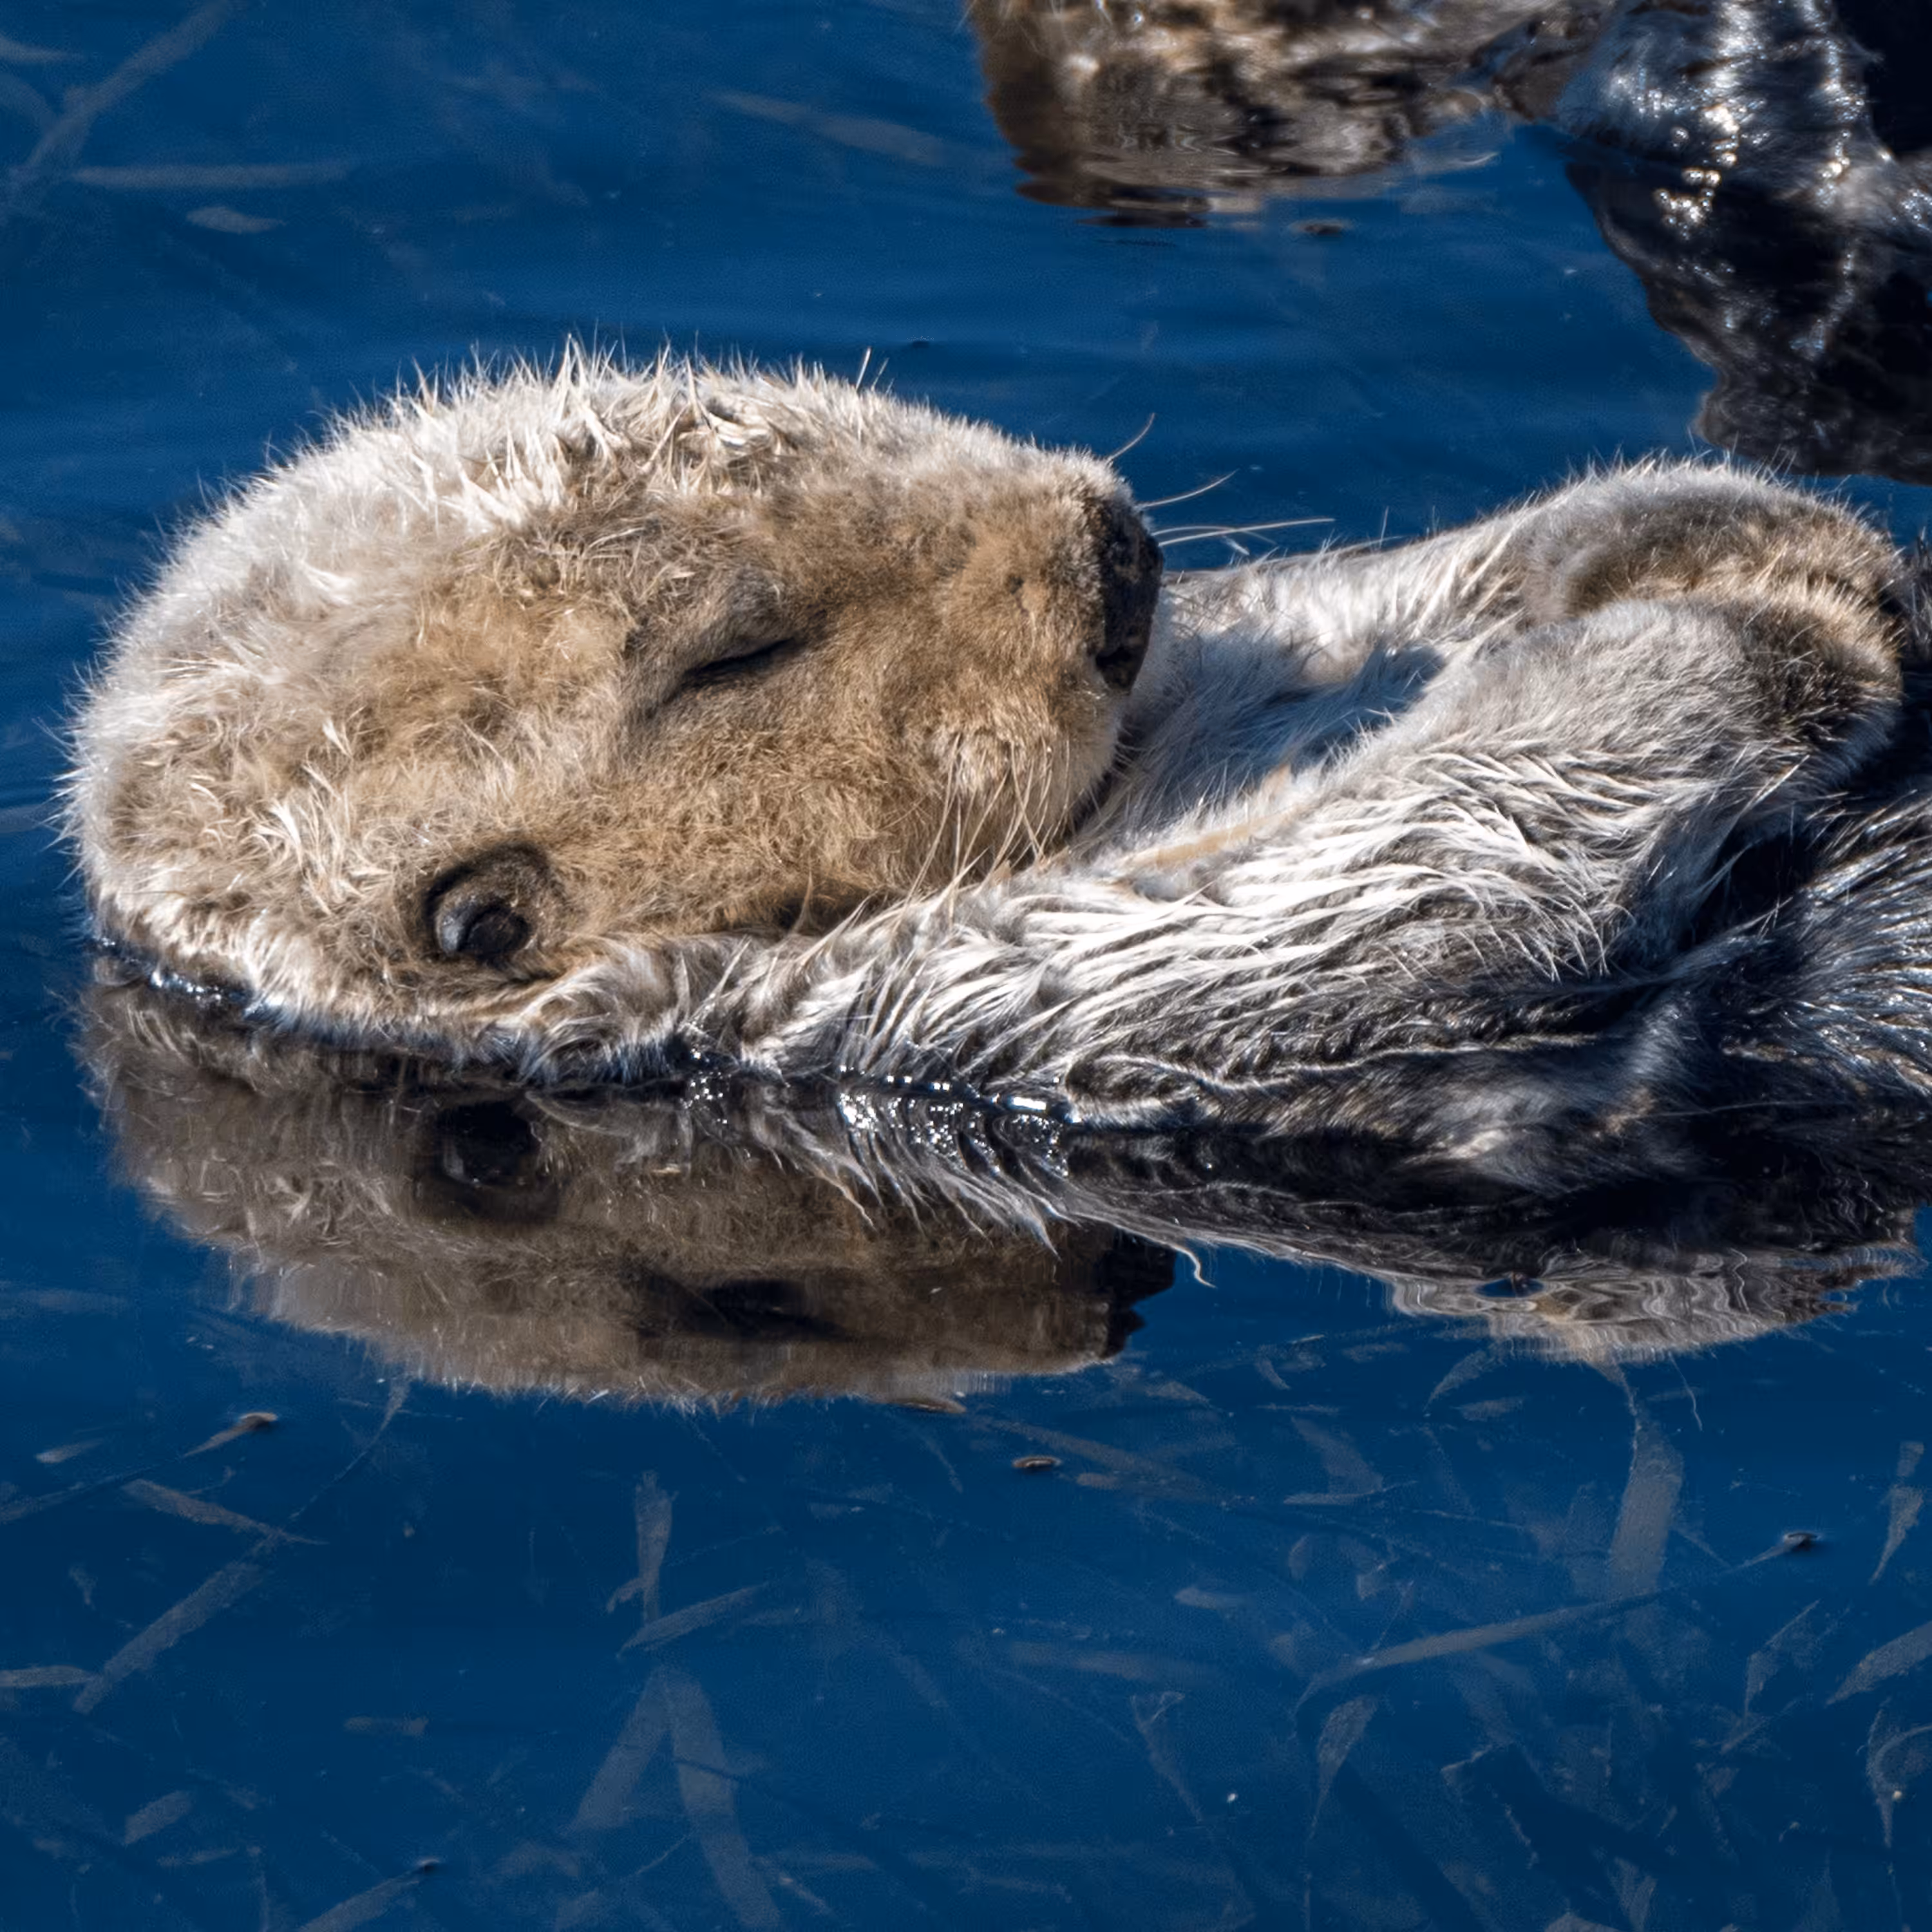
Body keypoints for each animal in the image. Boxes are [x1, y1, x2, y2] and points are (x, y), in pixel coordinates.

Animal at [68, 354, 1928, 1189]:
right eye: (737, 651)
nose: (1111, 552)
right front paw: (1740, 626)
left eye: (832, 408)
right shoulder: (904, 1021)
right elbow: (1384, 881)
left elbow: (1316, 627)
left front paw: (1693, 531)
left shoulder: (1225, 682)